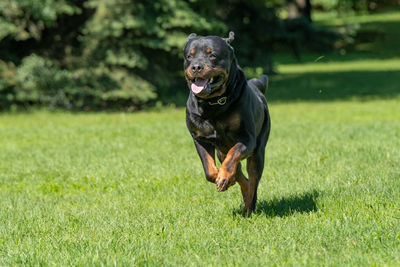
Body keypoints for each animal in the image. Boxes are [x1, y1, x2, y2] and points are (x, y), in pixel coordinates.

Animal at [184, 31, 272, 217]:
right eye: (189, 56)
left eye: (212, 55)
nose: (196, 66)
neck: (213, 104)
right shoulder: (199, 138)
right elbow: (209, 169)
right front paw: (223, 178)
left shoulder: (247, 139)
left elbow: (234, 155)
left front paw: (224, 177)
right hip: (220, 151)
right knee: (240, 174)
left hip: (258, 150)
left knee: (253, 180)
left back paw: (248, 208)